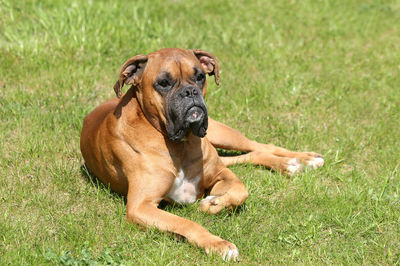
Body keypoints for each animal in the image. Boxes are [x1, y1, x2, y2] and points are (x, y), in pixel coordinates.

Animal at [79, 47, 324, 260]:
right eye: (163, 83)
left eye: (199, 77)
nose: (190, 91)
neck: (179, 144)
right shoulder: (141, 206)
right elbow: (185, 223)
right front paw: (217, 244)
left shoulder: (221, 173)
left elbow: (241, 190)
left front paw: (214, 203)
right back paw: (293, 163)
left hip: (220, 132)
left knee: (258, 146)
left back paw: (302, 160)